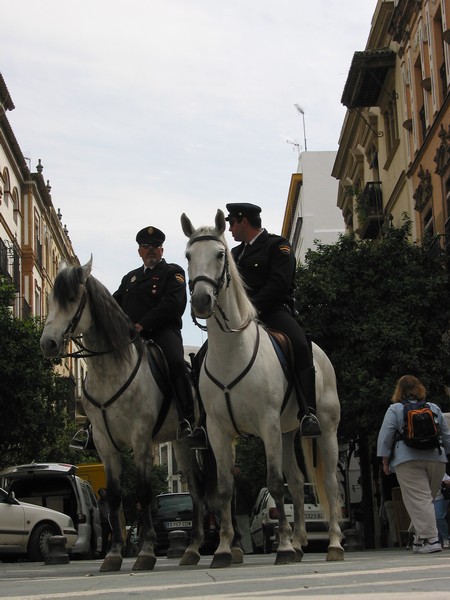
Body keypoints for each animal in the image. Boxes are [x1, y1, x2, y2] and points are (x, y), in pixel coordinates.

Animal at [181, 209, 342, 564]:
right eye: (188, 256)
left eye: (220, 254)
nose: (201, 301)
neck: (232, 351)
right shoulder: (218, 431)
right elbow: (225, 487)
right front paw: (224, 549)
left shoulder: (266, 424)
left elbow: (274, 483)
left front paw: (282, 547)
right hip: (287, 432)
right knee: (297, 482)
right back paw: (300, 541)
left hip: (325, 428)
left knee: (330, 481)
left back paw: (334, 544)